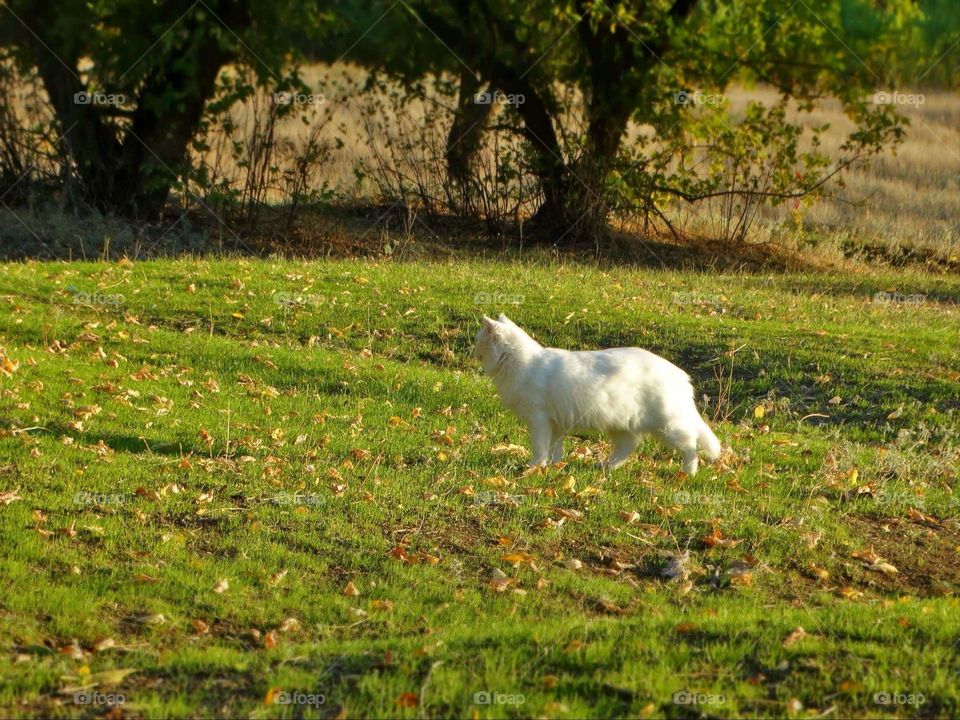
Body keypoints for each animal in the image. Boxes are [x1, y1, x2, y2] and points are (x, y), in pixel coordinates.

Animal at [472, 314, 720, 472]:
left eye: (477, 340)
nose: (472, 351)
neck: (522, 364)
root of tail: (681, 375)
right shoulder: (555, 424)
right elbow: (555, 449)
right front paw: (553, 468)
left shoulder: (539, 421)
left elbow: (540, 448)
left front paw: (534, 468)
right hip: (621, 425)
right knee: (628, 448)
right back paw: (605, 467)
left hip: (667, 426)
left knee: (691, 446)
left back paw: (687, 473)